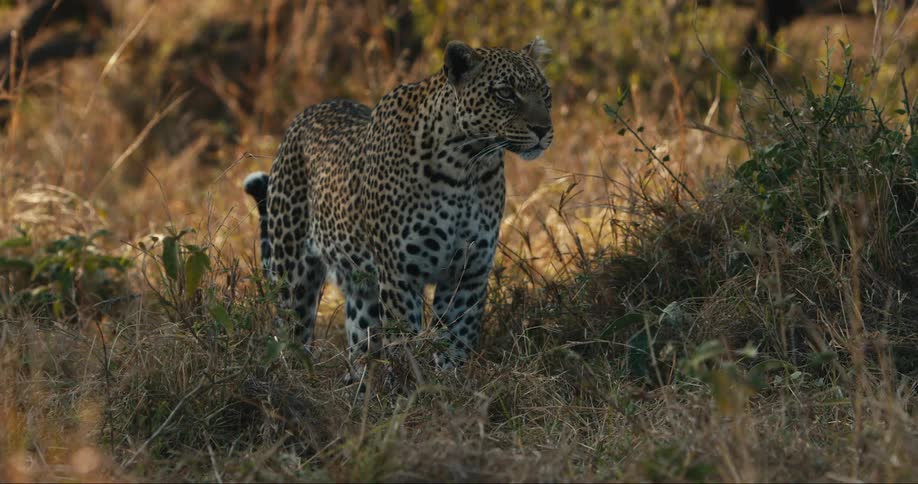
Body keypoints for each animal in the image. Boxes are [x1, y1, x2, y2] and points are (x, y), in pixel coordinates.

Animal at [244, 38, 553, 380]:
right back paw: (295, 377)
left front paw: (450, 382)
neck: (466, 165)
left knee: (362, 341)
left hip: (362, 291)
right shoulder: (400, 275)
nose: (543, 129)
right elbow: (407, 342)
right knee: (291, 334)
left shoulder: (468, 271)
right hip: (293, 270)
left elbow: (455, 339)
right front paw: (414, 386)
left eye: (545, 92)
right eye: (506, 93)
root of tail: (309, 111)